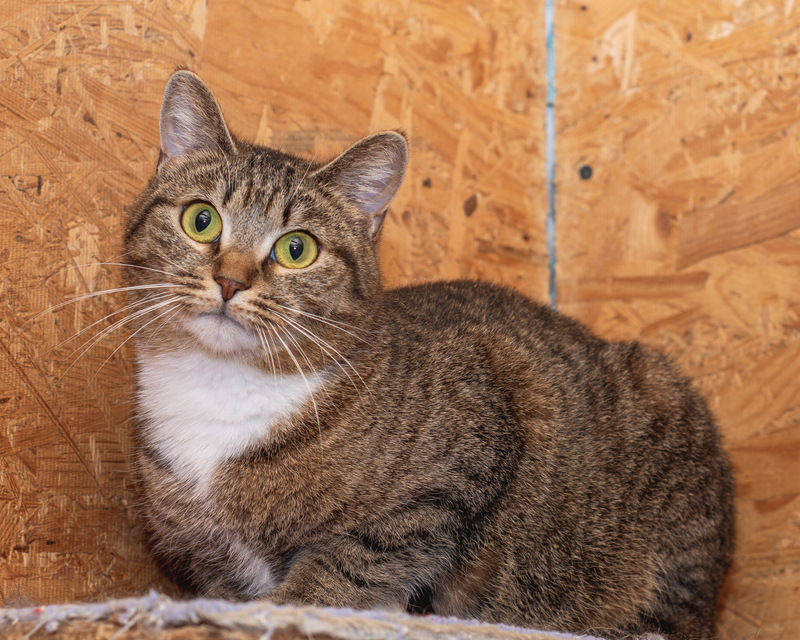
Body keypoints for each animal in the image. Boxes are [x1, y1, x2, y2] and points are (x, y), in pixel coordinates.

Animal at [122, 71, 736, 640]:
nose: (229, 281)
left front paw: (290, 605)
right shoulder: (199, 548)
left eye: (297, 249)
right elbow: (225, 583)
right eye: (201, 219)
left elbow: (351, 561)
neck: (222, 387)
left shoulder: (468, 450)